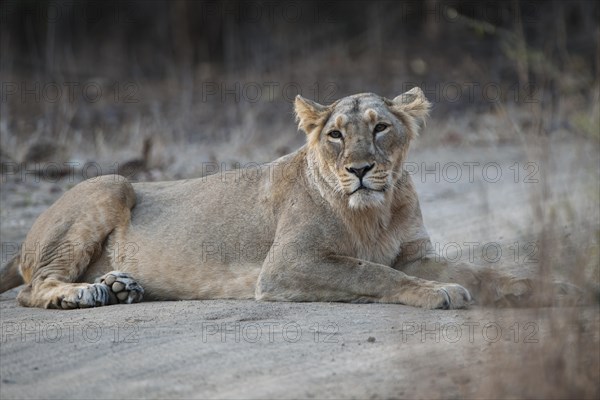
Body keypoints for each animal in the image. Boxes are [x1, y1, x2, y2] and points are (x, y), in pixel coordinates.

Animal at [0, 90, 544, 310]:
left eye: (380, 128)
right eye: (335, 135)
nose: (360, 170)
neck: (375, 211)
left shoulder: (415, 254)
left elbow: (479, 270)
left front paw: (541, 289)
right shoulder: (286, 265)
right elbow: (374, 273)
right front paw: (440, 293)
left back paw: (119, 286)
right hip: (112, 183)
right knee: (33, 287)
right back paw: (81, 295)